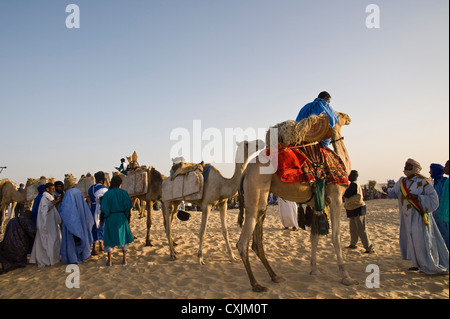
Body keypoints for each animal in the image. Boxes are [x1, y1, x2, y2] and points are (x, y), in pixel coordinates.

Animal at [236, 112, 358, 292]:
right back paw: (256, 284)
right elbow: (336, 236)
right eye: (341, 115)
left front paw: (314, 270)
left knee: (257, 240)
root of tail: (245, 172)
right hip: (255, 195)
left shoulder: (316, 203)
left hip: (260, 200)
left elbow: (314, 236)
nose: (349, 117)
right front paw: (346, 276)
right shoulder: (336, 197)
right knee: (242, 243)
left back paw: (275, 276)